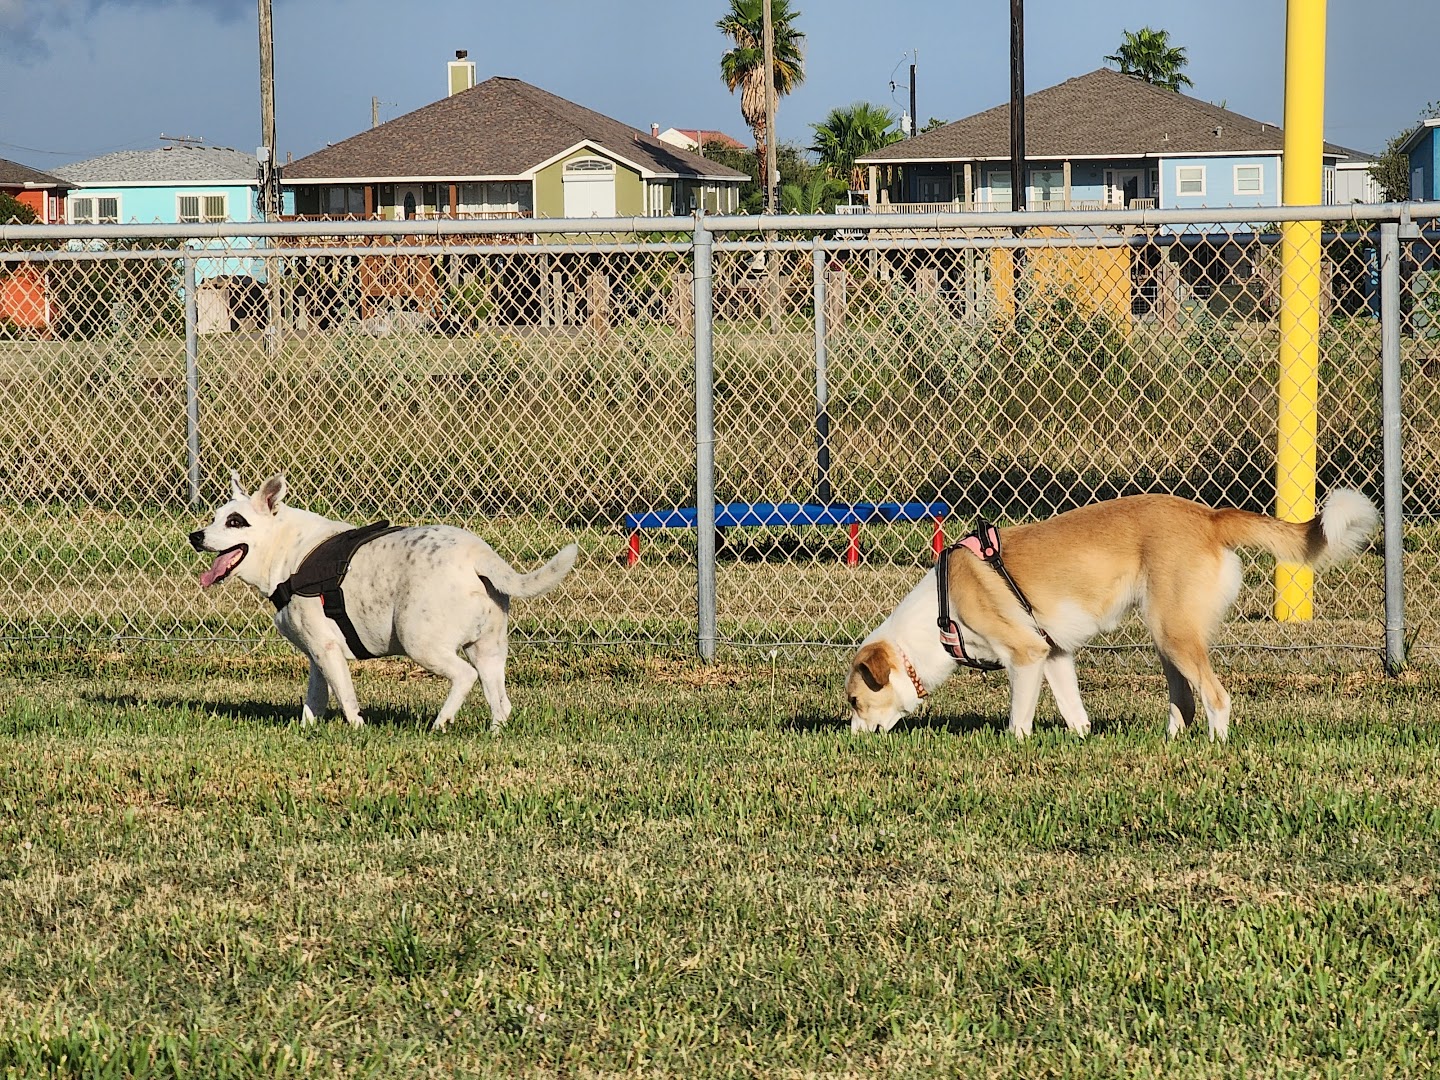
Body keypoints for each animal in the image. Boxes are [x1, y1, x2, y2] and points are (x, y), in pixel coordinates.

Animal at [190, 475, 578, 737]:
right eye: (214, 517)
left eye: (236, 522)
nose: (195, 536)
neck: (288, 550)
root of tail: (477, 555)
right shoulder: (317, 656)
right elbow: (313, 702)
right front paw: (307, 732)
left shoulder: (328, 650)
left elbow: (346, 699)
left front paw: (358, 730)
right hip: (488, 652)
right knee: (500, 702)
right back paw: (494, 732)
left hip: (420, 642)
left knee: (464, 676)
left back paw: (441, 722)